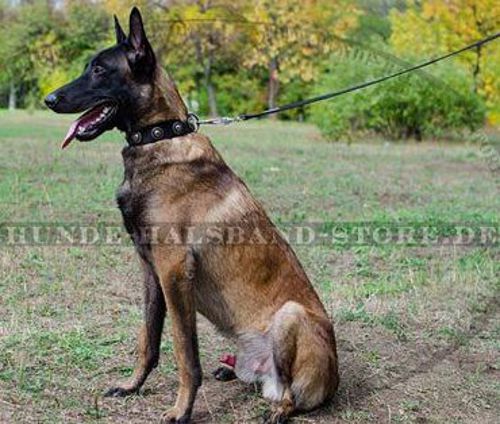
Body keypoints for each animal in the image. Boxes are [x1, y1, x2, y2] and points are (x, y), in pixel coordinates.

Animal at [45, 7, 338, 424]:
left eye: (99, 70)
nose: (49, 98)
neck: (160, 136)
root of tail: (336, 378)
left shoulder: (173, 270)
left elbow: (185, 352)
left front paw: (181, 410)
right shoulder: (150, 271)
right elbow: (148, 340)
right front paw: (133, 386)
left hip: (291, 316)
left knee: (289, 396)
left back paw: (278, 408)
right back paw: (230, 371)